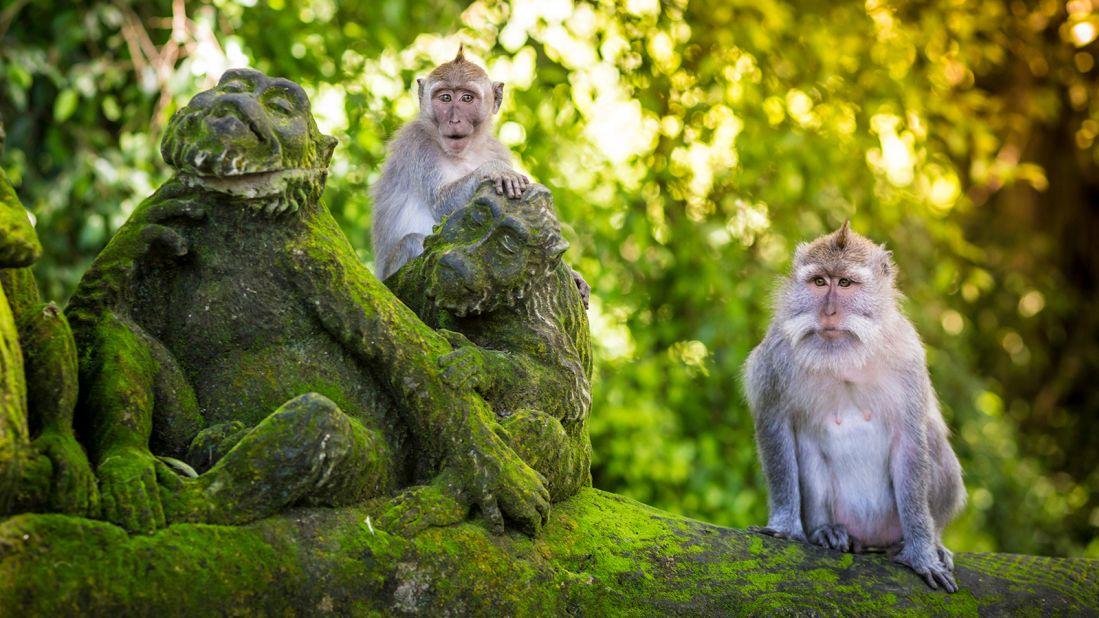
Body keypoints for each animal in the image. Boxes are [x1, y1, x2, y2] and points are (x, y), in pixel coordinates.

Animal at [743, 222, 966, 593]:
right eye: (820, 282)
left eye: (845, 283)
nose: (828, 312)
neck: (844, 358)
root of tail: (870, 539)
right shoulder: (776, 356)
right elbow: (775, 426)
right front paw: (786, 526)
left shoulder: (908, 356)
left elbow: (911, 442)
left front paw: (922, 553)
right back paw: (827, 531)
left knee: (933, 441)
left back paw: (927, 541)